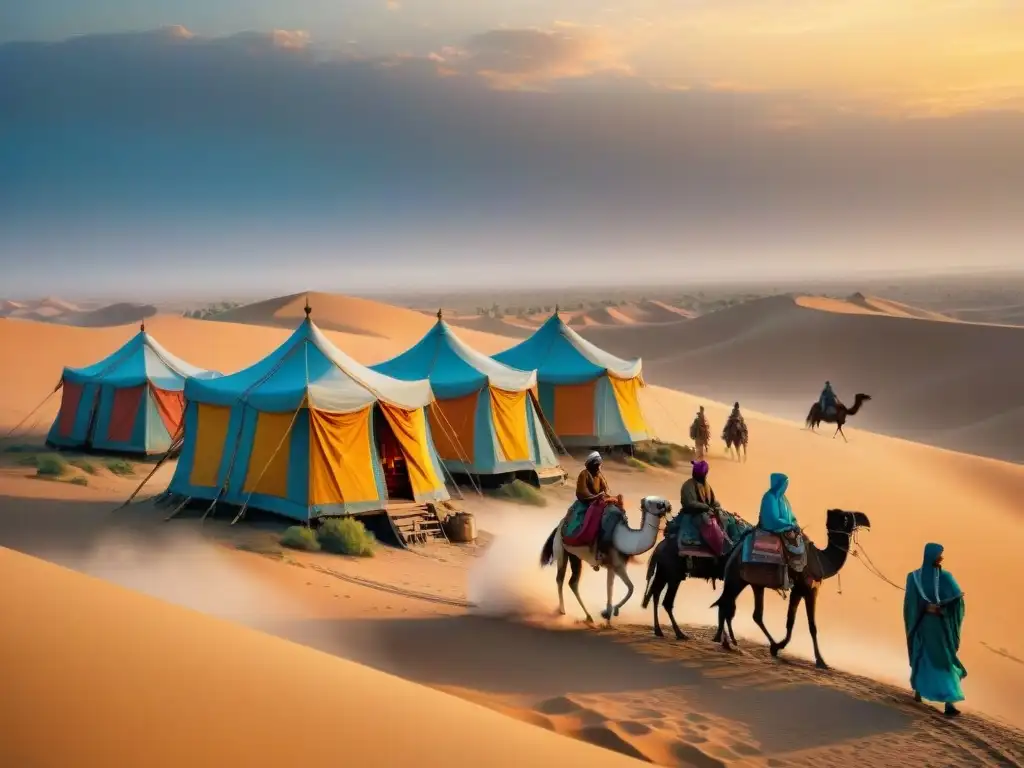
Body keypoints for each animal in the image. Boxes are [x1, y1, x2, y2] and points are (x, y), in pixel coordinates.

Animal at [540, 499, 675, 626]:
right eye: (658, 504)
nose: (669, 506)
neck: (624, 539)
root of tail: (560, 525)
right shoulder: (612, 564)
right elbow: (614, 589)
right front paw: (607, 617)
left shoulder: (618, 566)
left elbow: (630, 588)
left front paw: (609, 615)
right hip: (561, 550)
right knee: (560, 579)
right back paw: (562, 610)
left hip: (574, 556)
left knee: (573, 583)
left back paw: (588, 616)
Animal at [712, 514, 872, 671]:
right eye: (846, 517)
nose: (866, 520)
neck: (822, 560)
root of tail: (735, 550)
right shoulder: (805, 590)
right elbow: (809, 626)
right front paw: (820, 661)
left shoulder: (802, 591)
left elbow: (793, 622)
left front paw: (778, 647)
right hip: (736, 578)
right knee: (728, 604)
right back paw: (727, 641)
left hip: (751, 583)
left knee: (743, 609)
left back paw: (727, 641)